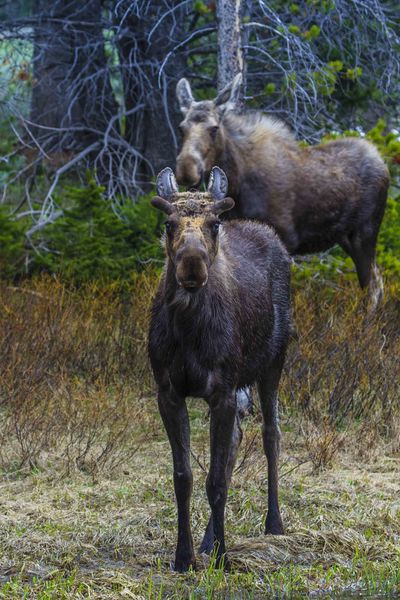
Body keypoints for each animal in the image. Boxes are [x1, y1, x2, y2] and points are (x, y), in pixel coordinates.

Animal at [148, 166, 290, 568]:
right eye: (168, 223)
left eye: (214, 224)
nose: (192, 263)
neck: (189, 331)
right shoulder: (169, 392)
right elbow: (185, 477)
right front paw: (184, 556)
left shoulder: (222, 391)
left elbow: (215, 480)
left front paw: (224, 558)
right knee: (236, 443)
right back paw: (208, 540)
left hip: (273, 362)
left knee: (271, 435)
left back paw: (273, 523)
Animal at [177, 75, 390, 308]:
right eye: (181, 128)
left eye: (214, 128)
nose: (186, 171)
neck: (238, 184)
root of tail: (383, 162)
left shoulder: (286, 239)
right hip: (345, 237)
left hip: (365, 233)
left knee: (374, 286)